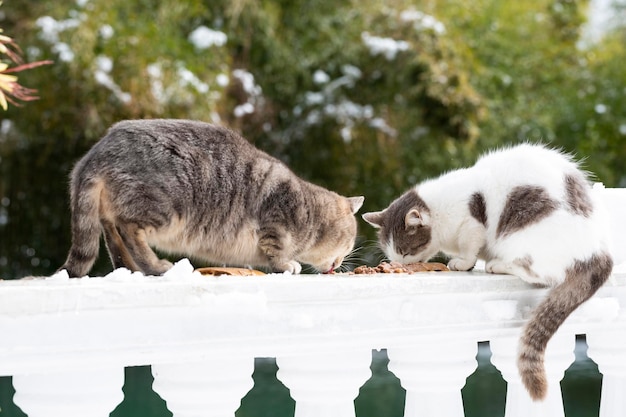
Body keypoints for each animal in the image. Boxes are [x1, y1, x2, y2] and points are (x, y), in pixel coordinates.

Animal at [364, 144, 612, 400]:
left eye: (405, 251)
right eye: (392, 253)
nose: (399, 263)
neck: (439, 214)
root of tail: (597, 251)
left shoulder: (471, 225)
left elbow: (470, 247)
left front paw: (463, 262)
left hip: (522, 236)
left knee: (537, 272)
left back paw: (499, 265)